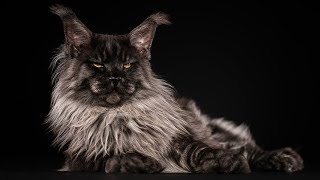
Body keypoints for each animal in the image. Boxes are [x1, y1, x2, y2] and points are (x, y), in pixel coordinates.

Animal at [46, 4, 304, 173]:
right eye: (98, 65)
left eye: (127, 65)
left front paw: (225, 162)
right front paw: (139, 162)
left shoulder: (179, 138)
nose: (115, 78)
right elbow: (111, 156)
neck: (117, 116)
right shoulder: (80, 155)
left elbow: (199, 150)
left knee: (245, 148)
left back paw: (285, 158)